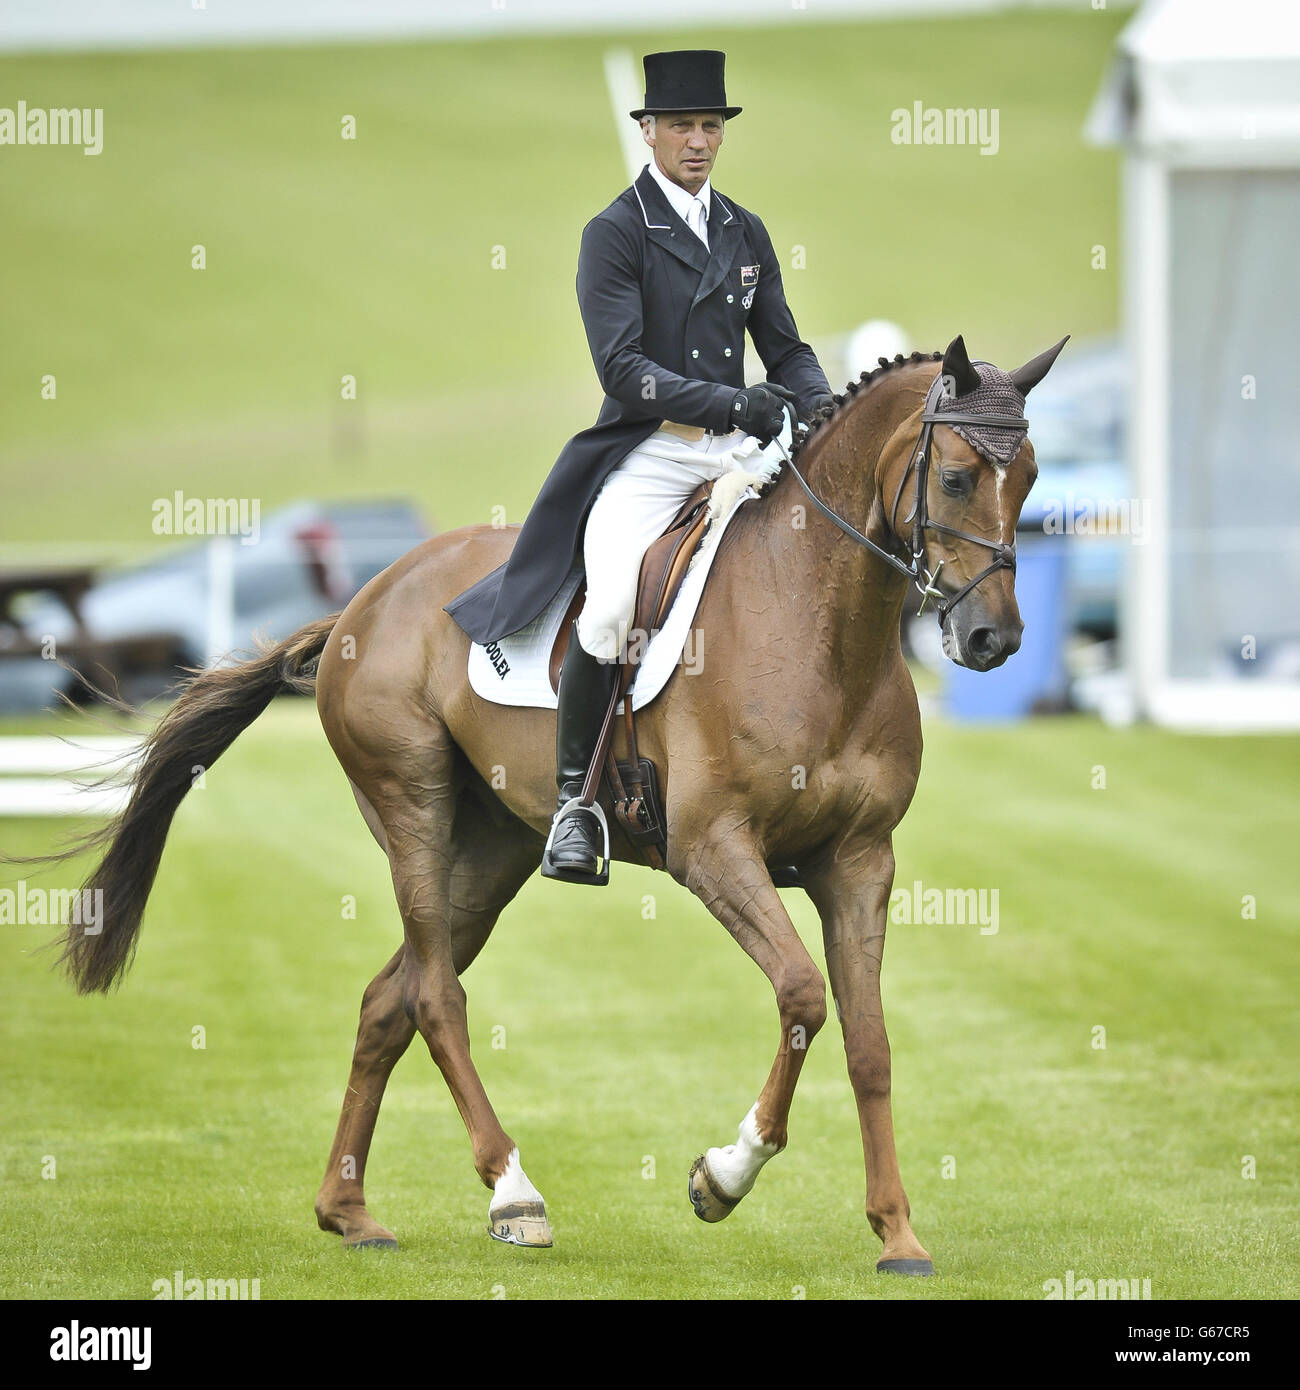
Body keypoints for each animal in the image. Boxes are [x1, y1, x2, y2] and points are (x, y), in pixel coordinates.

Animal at [53, 333, 1067, 1273]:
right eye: (956, 475)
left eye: (1029, 479)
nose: (995, 639)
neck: (822, 625)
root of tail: (363, 602)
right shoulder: (714, 850)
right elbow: (801, 994)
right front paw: (722, 1177)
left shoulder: (859, 862)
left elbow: (869, 1041)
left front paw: (896, 1233)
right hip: (413, 808)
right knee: (435, 995)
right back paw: (513, 1192)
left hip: (492, 850)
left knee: (389, 1000)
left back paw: (348, 1213)